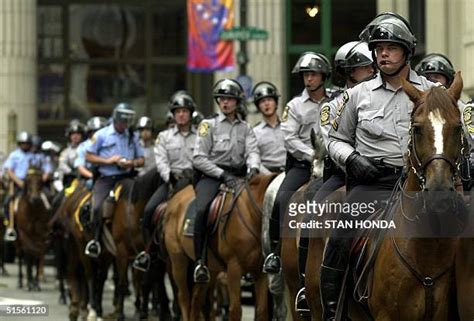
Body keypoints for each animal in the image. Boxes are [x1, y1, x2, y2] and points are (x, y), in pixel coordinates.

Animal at [166, 174, 278, 320]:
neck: (251, 214)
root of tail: (174, 201)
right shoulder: (233, 269)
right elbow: (235, 311)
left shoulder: (261, 272)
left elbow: (262, 311)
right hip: (179, 261)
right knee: (184, 297)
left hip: (210, 271)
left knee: (196, 300)